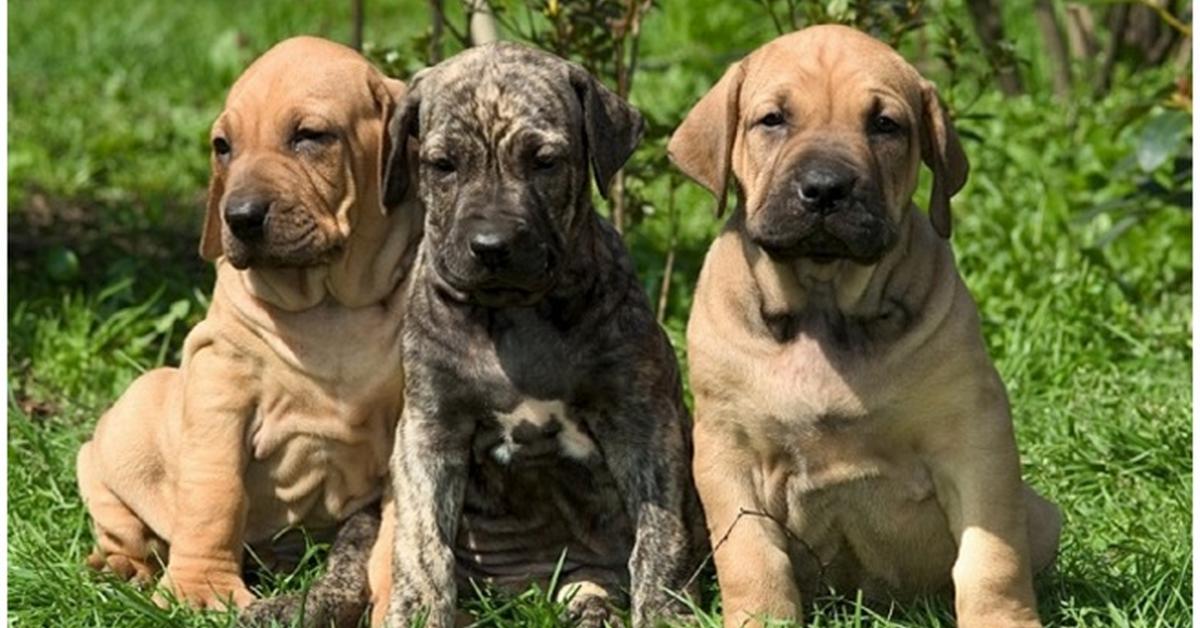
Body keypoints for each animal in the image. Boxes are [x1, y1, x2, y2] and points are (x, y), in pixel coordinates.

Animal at [76, 35, 422, 619]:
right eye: (223, 147)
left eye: (310, 137)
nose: (238, 217)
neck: (328, 305)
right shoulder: (220, 382)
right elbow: (214, 494)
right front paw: (198, 590)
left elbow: (404, 520)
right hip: (132, 423)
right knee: (122, 521)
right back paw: (123, 567)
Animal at [369, 40, 700, 628]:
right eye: (443, 165)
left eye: (544, 162)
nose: (491, 246)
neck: (518, 317)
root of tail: (532, 590)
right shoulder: (429, 427)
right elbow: (422, 543)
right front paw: (418, 610)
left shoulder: (642, 420)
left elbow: (661, 534)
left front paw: (663, 608)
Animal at [672, 25, 1065, 628]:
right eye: (772, 120)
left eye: (885, 125)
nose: (826, 188)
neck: (825, 303)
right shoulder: (726, 449)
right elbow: (750, 554)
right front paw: (761, 615)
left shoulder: (975, 436)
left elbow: (992, 555)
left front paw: (1001, 618)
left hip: (1043, 513)